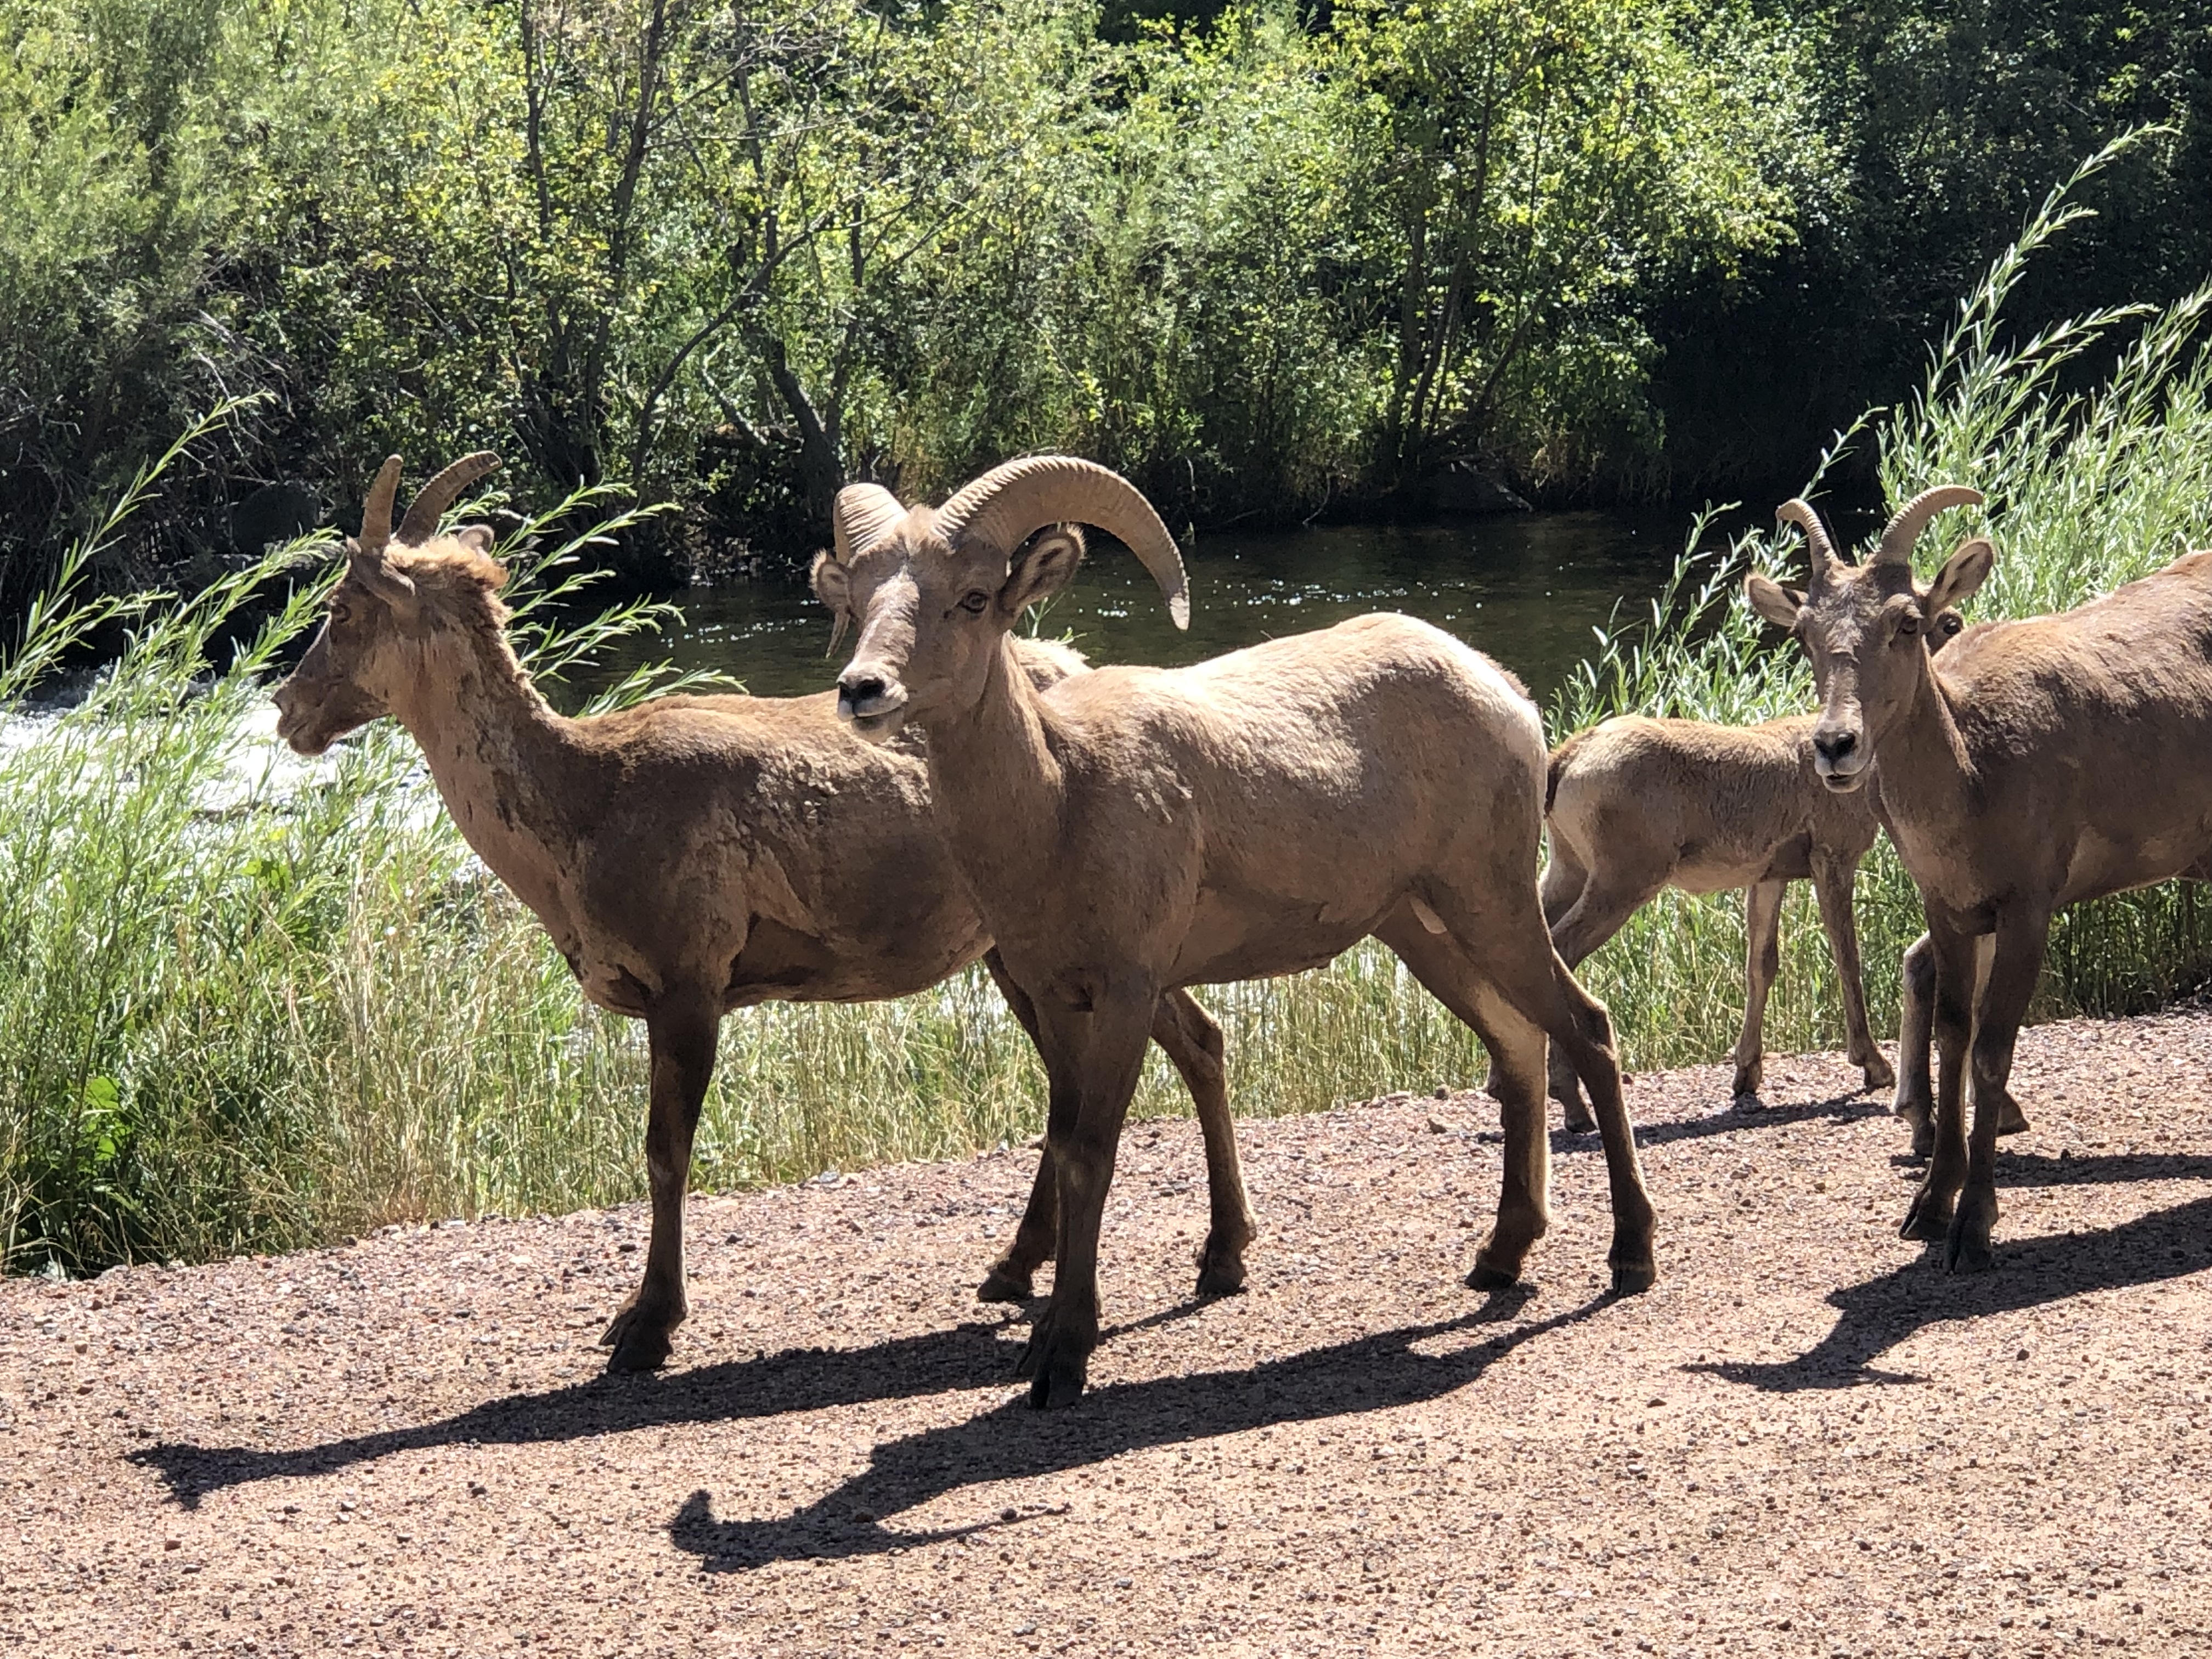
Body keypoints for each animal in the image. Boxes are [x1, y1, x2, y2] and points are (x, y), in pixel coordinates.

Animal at [818, 458, 1663, 1415]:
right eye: (858, 600)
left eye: (970, 598)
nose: (863, 691)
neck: (1060, 799)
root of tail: (1505, 692)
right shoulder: (1054, 997)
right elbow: (1064, 1144)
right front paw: (1045, 1333)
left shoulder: (1126, 990)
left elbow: (1092, 1154)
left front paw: (1064, 1359)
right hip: (1423, 929)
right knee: (1520, 1043)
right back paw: (1498, 1259)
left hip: (1492, 902)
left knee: (1586, 1027)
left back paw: (1631, 1257)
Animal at [1743, 484, 2212, 1274]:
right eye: (1804, 632)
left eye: (1907, 623)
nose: (1836, 745)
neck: (1975, 766)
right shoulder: (1951, 907)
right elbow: (1953, 1034)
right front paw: (1928, 1208)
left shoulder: (2028, 907)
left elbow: (1993, 1052)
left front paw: (1975, 1229)